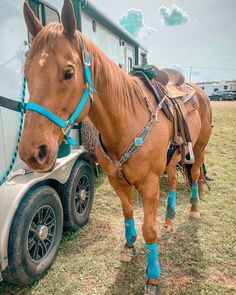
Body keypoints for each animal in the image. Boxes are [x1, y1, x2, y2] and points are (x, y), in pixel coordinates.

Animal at [19, 1, 212, 294]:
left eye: (68, 73)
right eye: (26, 73)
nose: (33, 152)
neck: (127, 119)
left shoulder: (149, 184)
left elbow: (149, 230)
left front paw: (152, 277)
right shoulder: (115, 180)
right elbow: (128, 212)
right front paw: (129, 246)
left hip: (198, 148)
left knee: (195, 173)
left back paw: (193, 209)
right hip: (172, 158)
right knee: (173, 181)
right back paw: (169, 219)